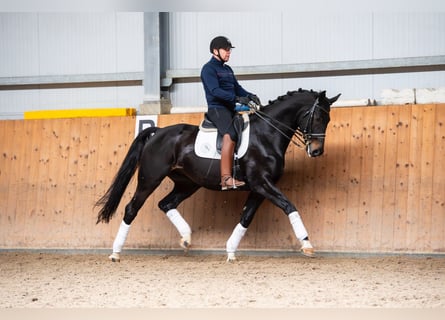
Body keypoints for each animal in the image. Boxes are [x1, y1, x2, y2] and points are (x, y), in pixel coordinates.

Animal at [96, 87, 340, 260]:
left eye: (328, 119)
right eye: (318, 117)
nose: (316, 151)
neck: (266, 134)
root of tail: (158, 132)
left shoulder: (259, 188)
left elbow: (246, 216)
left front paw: (230, 251)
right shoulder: (261, 183)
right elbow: (289, 206)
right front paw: (307, 244)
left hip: (187, 183)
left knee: (166, 204)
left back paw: (186, 239)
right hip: (150, 179)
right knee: (131, 208)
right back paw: (115, 253)